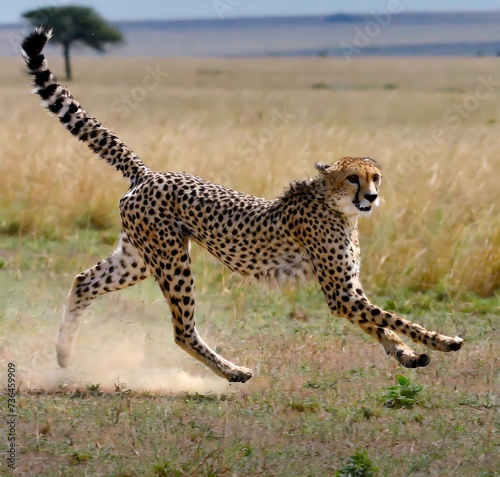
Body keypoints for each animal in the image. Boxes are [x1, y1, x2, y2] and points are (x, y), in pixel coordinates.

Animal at [21, 27, 462, 384]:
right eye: (354, 178)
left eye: (375, 177)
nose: (371, 197)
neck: (336, 207)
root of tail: (150, 174)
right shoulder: (341, 292)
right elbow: (393, 317)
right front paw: (442, 341)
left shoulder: (348, 291)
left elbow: (381, 326)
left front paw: (406, 355)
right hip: (172, 260)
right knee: (181, 330)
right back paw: (232, 371)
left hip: (140, 257)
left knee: (83, 281)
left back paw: (63, 354)